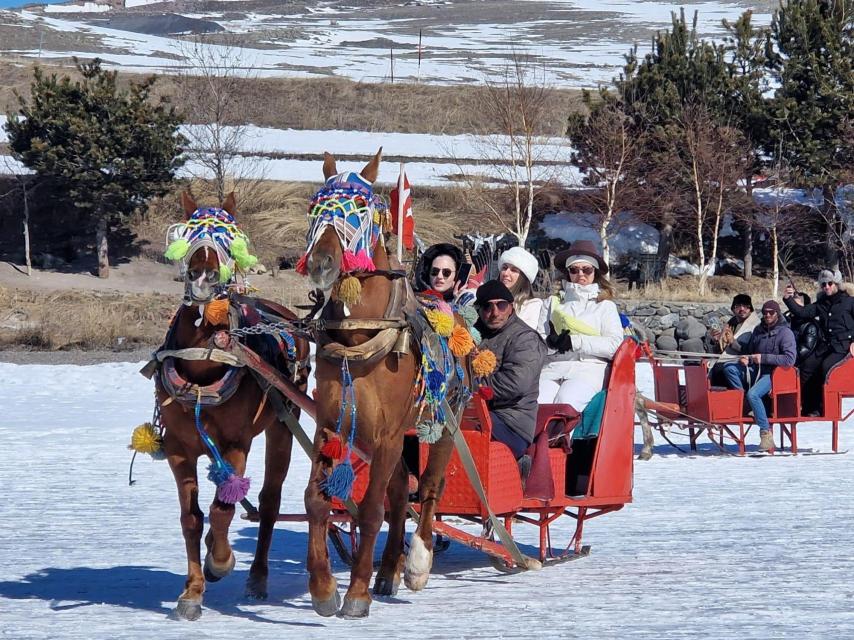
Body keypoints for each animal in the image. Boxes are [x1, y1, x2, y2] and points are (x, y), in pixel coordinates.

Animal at [155, 194, 310, 620]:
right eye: (190, 232)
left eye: (228, 237)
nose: (202, 277)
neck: (203, 360)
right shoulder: (178, 447)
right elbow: (192, 517)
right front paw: (193, 590)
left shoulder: (237, 442)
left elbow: (223, 510)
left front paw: (221, 561)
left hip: (283, 424)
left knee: (270, 501)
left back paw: (257, 578)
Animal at [302, 152, 462, 616]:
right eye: (316, 207)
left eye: (359, 209)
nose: (320, 264)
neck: (361, 334)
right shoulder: (331, 424)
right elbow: (316, 500)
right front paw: (323, 589)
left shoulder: (389, 433)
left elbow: (371, 509)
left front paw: (356, 594)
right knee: (399, 494)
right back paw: (388, 571)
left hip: (443, 422)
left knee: (428, 488)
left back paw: (416, 563)